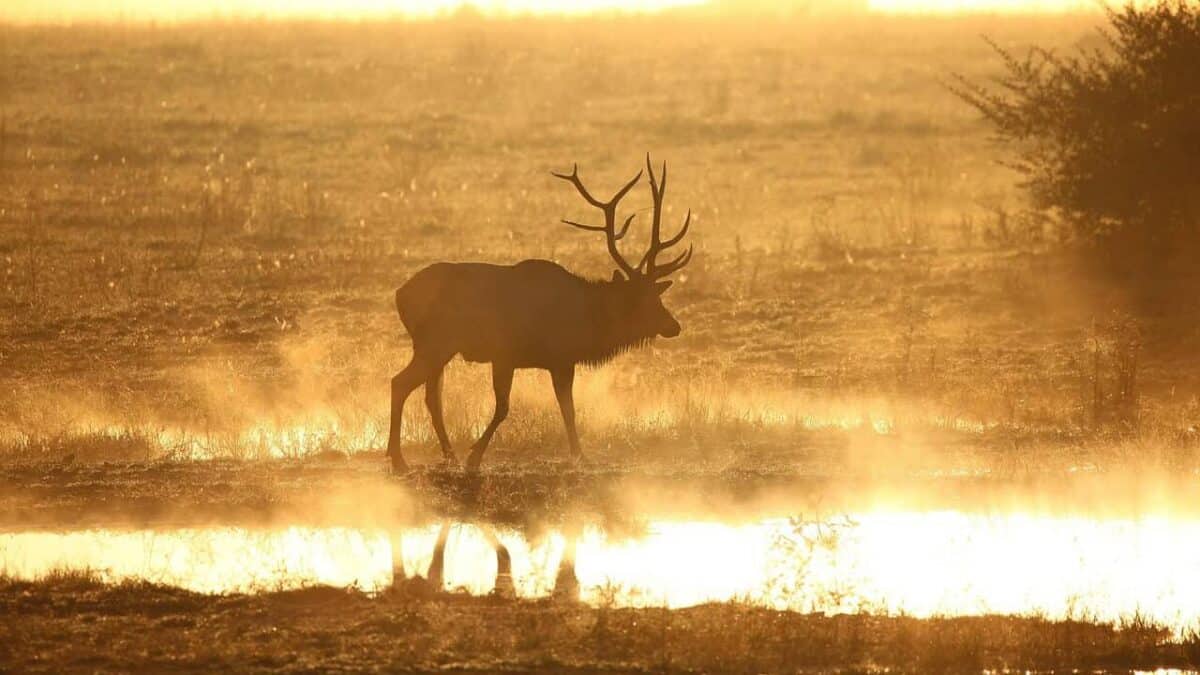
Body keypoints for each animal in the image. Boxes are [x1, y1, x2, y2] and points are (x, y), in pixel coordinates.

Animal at [385, 155, 694, 474]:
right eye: (645, 300)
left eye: (658, 295)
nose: (674, 326)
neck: (586, 320)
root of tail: (399, 295)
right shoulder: (517, 355)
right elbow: (508, 408)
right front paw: (476, 456)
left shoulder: (556, 361)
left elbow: (566, 409)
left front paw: (579, 455)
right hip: (434, 343)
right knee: (400, 383)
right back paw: (399, 458)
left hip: (440, 349)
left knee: (431, 396)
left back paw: (448, 456)